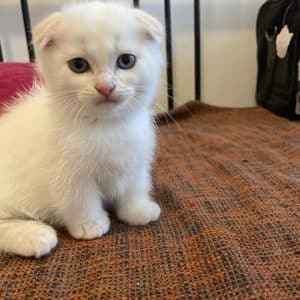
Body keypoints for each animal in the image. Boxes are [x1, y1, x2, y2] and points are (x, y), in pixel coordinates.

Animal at [0, 1, 164, 256]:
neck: (106, 126)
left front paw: (137, 210)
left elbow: (135, 184)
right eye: (78, 65)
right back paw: (33, 235)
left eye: (126, 61)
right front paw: (90, 224)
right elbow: (79, 199)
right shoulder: (67, 172)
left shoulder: (136, 159)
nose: (106, 87)